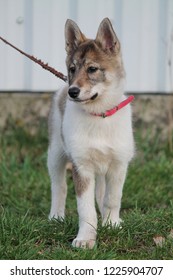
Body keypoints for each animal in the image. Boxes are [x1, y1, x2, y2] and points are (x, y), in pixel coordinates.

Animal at [47, 18, 135, 249]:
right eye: (72, 69)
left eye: (92, 69)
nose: (73, 92)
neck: (99, 115)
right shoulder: (82, 167)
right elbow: (85, 209)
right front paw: (86, 238)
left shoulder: (118, 164)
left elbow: (112, 199)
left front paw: (111, 224)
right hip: (55, 154)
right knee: (59, 187)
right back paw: (55, 217)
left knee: (101, 193)